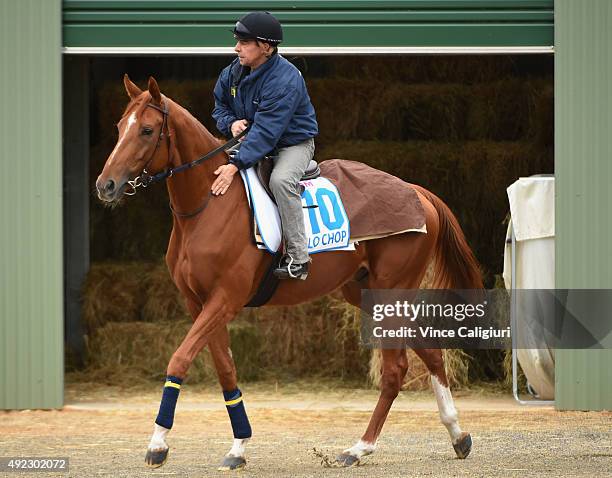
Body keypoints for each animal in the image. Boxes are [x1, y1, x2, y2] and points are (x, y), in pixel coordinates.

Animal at [95, 76, 482, 472]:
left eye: (146, 130)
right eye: (119, 127)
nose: (105, 185)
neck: (208, 203)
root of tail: (418, 192)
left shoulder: (225, 300)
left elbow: (180, 358)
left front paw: (158, 442)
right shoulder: (198, 303)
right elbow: (225, 369)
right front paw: (238, 447)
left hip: (392, 291)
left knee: (395, 370)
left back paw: (360, 447)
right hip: (367, 294)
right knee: (431, 353)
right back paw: (457, 435)